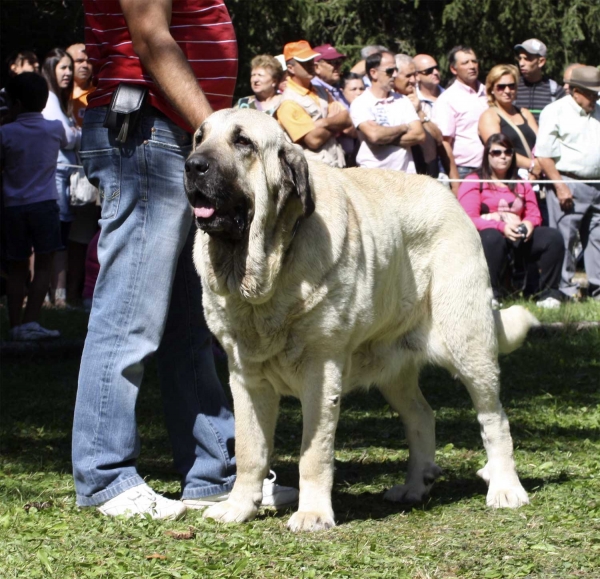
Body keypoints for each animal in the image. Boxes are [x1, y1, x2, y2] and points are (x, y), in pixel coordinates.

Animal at [185, 110, 536, 536]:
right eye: (199, 138)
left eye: (242, 142)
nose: (193, 165)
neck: (265, 272)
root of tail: (447, 195)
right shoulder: (246, 378)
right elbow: (251, 450)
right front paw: (238, 508)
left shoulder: (321, 375)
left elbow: (313, 454)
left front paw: (312, 514)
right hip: (391, 367)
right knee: (421, 415)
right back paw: (415, 486)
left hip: (469, 347)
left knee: (494, 418)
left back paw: (505, 488)